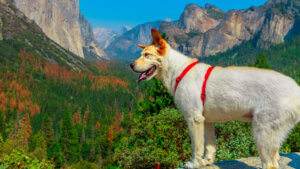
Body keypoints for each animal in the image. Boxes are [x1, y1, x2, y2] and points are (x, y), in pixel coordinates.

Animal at [129, 27, 300, 169]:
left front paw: (194, 163)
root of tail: (296, 89)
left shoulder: (194, 119)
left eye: (147, 55)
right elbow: (209, 146)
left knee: (270, 164)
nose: (130, 65)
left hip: (262, 132)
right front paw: (206, 161)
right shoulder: (206, 121)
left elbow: (196, 146)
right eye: (141, 54)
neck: (178, 70)